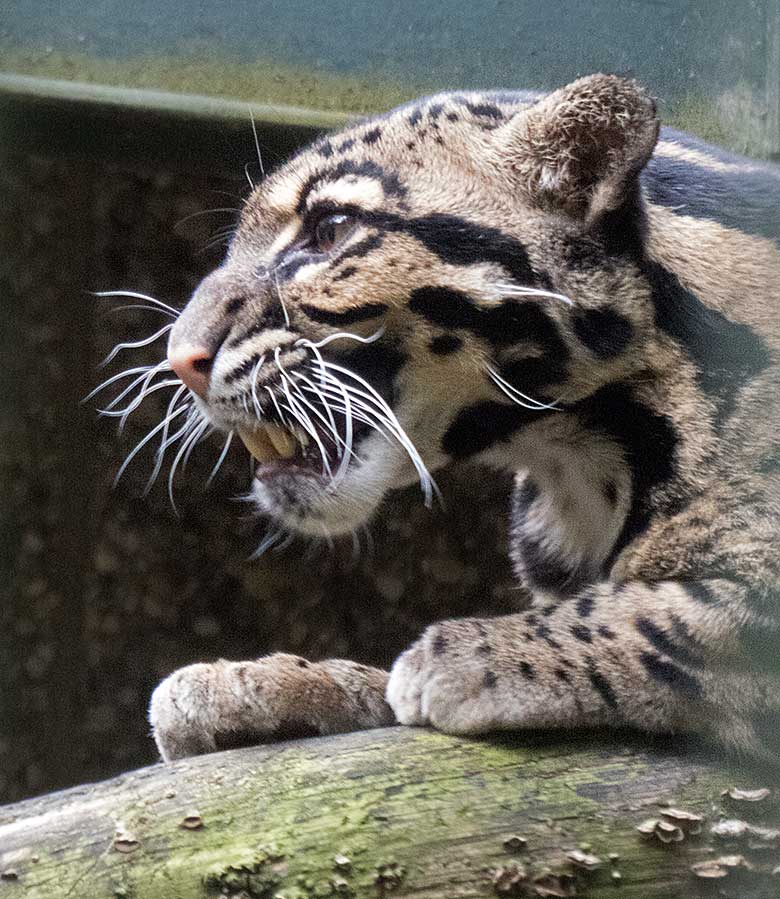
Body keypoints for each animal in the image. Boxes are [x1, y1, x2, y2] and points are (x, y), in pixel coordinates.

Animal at [117, 75, 780, 760]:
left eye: (330, 229)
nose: (179, 359)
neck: (577, 468)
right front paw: (271, 685)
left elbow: (696, 613)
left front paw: (479, 652)